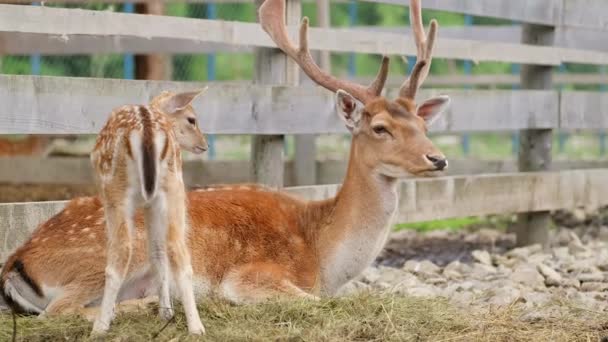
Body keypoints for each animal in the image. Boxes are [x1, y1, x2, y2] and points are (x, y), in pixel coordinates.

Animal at [87, 89, 207, 334]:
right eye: (192, 119)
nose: (205, 145)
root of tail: (148, 131)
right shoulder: (152, 204)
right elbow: (157, 253)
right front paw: (166, 312)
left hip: (114, 192)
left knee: (121, 253)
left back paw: (100, 326)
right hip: (174, 189)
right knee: (178, 251)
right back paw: (196, 327)